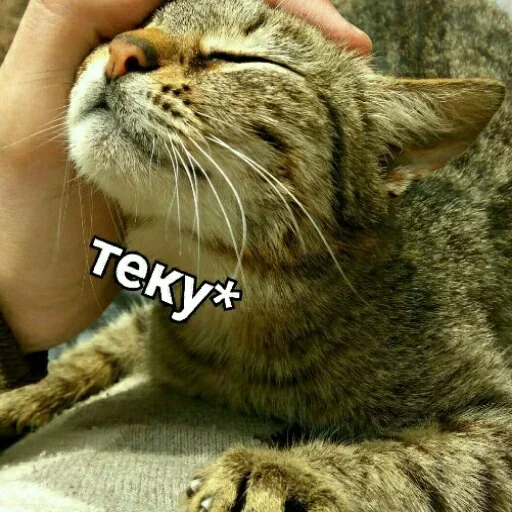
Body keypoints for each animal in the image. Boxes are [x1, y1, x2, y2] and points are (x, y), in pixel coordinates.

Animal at [1, 0, 512, 509]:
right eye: (140, 23)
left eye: (241, 58)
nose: (124, 49)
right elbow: (98, 346)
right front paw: (22, 394)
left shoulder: (497, 422)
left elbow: (412, 466)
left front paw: (277, 472)